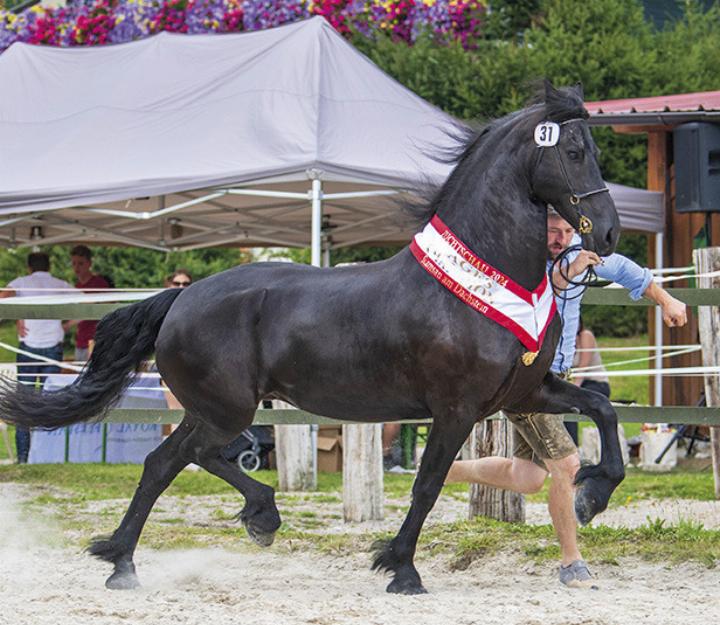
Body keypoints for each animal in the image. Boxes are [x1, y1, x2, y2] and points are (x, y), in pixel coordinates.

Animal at [0, 83, 624, 596]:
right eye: (573, 152)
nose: (610, 233)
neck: (478, 280)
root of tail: (180, 298)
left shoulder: (524, 394)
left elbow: (603, 409)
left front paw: (591, 495)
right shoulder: (455, 409)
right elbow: (426, 485)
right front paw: (400, 569)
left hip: (211, 408)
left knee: (163, 462)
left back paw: (126, 563)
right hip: (227, 409)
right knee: (190, 457)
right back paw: (252, 520)